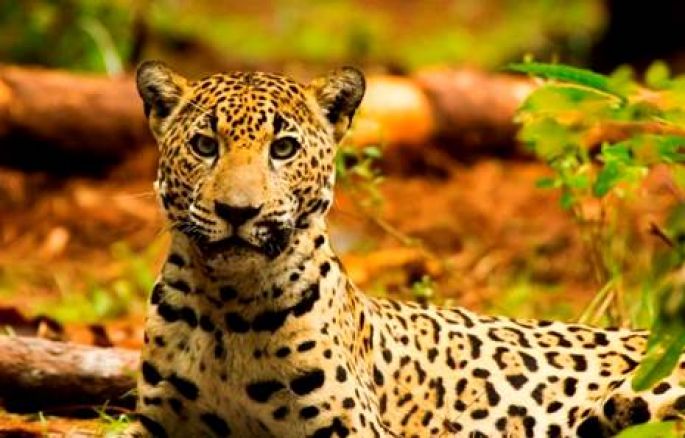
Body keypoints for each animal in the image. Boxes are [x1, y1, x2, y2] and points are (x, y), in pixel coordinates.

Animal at [123, 60, 685, 438]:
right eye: (204, 146)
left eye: (282, 149)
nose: (238, 211)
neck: (227, 308)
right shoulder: (157, 424)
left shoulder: (353, 429)